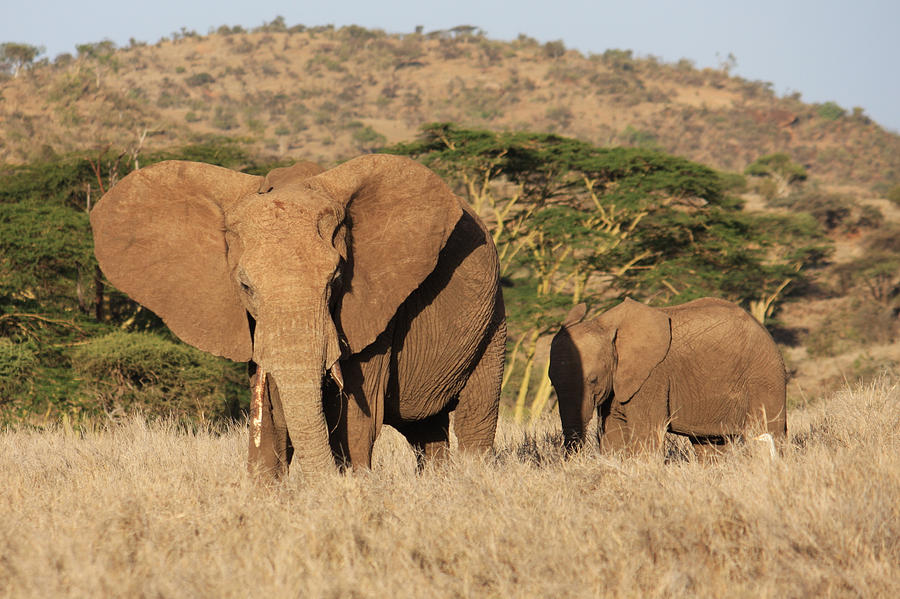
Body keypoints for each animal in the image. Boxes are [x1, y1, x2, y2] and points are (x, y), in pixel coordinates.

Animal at [95, 154, 510, 478]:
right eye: (245, 286)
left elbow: (356, 419)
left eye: (337, 279)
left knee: (474, 417)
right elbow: (273, 411)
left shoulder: (375, 312)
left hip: (492, 321)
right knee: (426, 432)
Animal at [544, 298, 784, 458]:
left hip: (765, 375)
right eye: (552, 383)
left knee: (768, 431)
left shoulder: (653, 377)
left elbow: (646, 434)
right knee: (709, 443)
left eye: (593, 380)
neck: (605, 324)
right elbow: (613, 435)